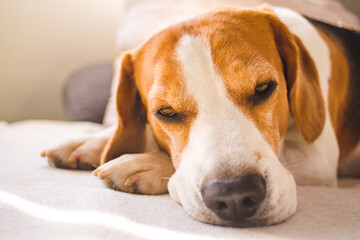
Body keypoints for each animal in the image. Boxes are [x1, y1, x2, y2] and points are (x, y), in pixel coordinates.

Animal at [40, 5, 358, 227]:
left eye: (264, 88)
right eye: (166, 112)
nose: (234, 195)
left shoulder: (319, 158)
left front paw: (143, 162)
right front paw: (92, 142)